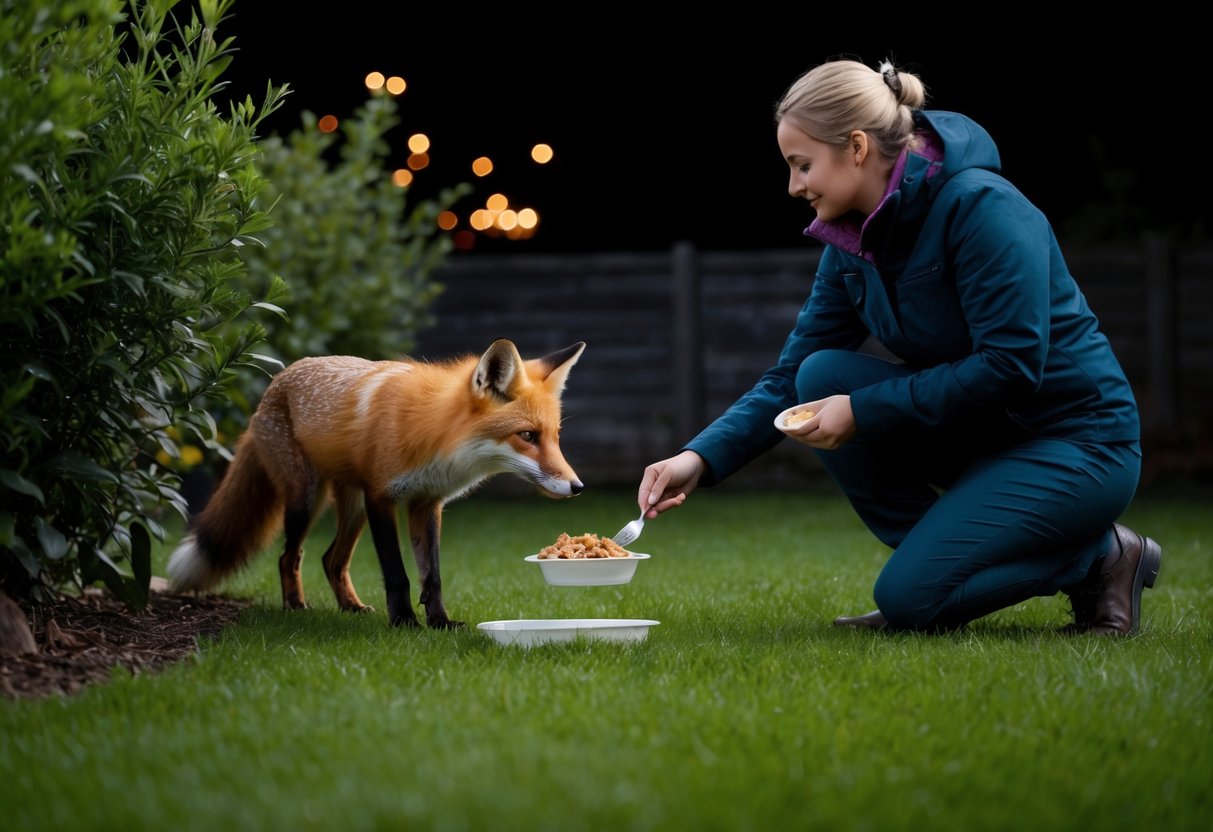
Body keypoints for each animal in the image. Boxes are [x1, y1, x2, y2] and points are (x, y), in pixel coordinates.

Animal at [167, 338, 586, 628]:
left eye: (555, 437)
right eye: (527, 436)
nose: (577, 487)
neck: (436, 438)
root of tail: (274, 384)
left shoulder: (426, 503)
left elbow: (432, 575)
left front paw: (440, 622)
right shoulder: (381, 498)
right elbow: (397, 573)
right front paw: (404, 623)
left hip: (352, 509)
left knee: (331, 560)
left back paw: (350, 607)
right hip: (307, 501)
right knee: (291, 556)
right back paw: (295, 607)